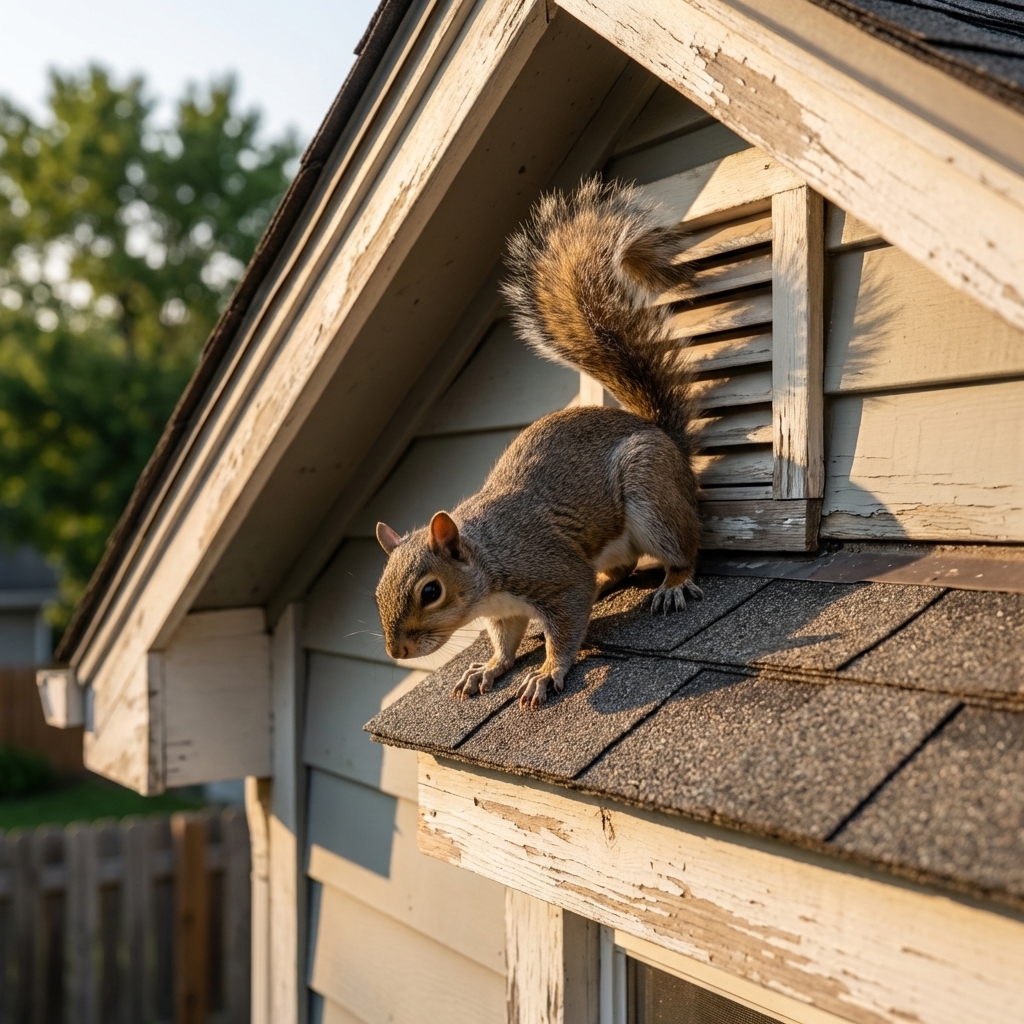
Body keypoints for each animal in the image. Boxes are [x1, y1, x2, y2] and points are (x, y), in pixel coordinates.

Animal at [374, 179, 701, 709]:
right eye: (377, 591)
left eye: (430, 592)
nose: (397, 651)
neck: (487, 563)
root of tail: (661, 435)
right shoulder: (505, 612)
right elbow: (504, 641)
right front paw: (489, 667)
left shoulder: (552, 572)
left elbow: (565, 628)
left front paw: (546, 673)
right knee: (622, 566)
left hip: (652, 493)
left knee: (680, 550)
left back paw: (673, 583)